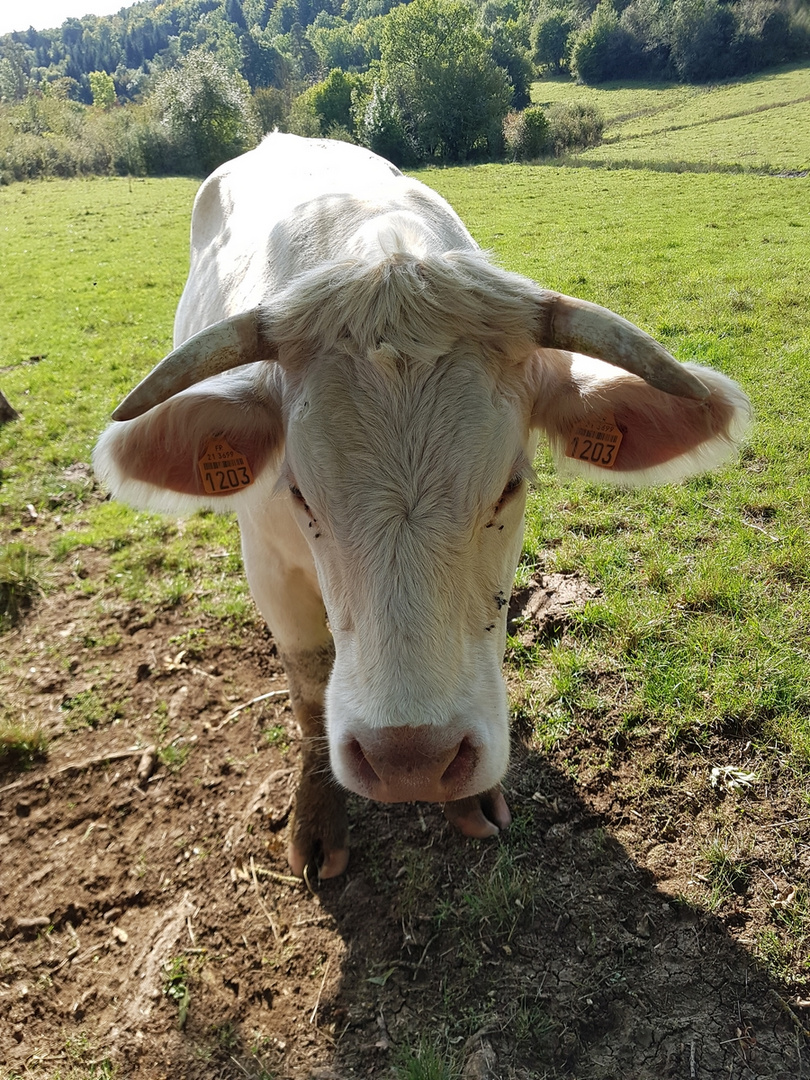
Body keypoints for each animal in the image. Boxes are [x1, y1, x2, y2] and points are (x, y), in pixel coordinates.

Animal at [95, 132, 756, 876]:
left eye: (510, 485)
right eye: (300, 495)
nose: (410, 759)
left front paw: (468, 802)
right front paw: (316, 818)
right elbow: (307, 686)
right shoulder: (266, 566)